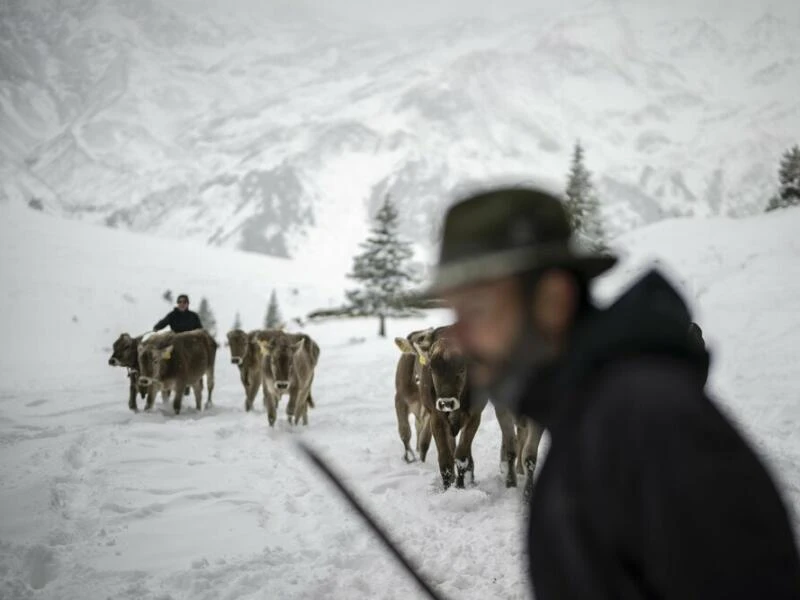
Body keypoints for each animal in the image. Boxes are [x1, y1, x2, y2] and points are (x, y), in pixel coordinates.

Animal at [392, 328, 434, 464]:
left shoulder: (428, 409)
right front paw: (408, 457)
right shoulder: (399, 400)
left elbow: (425, 440)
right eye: (420, 338)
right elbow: (404, 431)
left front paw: (422, 460)